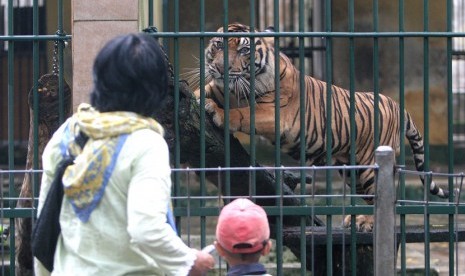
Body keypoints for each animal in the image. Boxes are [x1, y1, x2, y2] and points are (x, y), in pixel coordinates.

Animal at [188, 23, 450, 231]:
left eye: (243, 50)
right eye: (217, 46)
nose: (221, 68)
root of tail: (396, 105)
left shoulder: (272, 112)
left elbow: (242, 113)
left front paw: (217, 112)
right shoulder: (222, 88)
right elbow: (204, 89)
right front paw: (195, 96)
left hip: (368, 167)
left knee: (384, 199)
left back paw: (366, 222)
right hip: (352, 171)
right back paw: (357, 220)